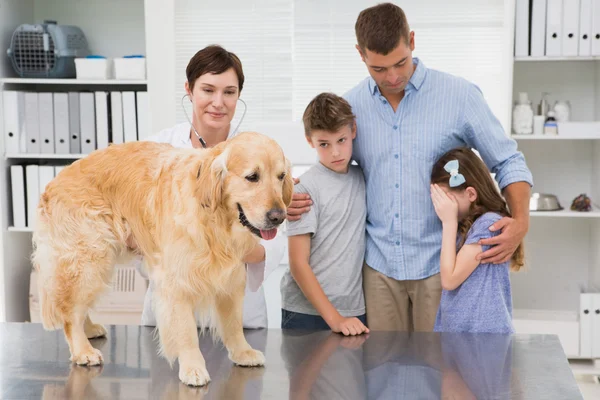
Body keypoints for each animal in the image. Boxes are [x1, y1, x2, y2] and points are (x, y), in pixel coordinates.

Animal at [31, 130, 294, 384]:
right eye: (252, 177)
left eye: (281, 176)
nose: (279, 216)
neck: (213, 220)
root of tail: (54, 181)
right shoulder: (176, 281)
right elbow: (186, 331)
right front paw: (193, 367)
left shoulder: (231, 276)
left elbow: (233, 323)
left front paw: (242, 352)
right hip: (89, 256)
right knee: (69, 310)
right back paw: (82, 349)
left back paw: (89, 329)